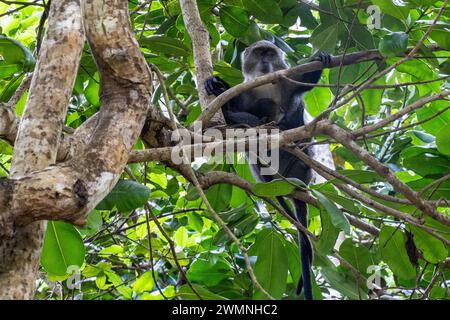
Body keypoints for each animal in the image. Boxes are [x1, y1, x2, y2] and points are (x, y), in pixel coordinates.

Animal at [204, 40, 330, 300]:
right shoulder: (244, 91)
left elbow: (303, 86)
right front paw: (217, 86)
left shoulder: (286, 82)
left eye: (269, 54)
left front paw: (320, 58)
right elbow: (230, 114)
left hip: (300, 168)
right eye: (258, 53)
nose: (264, 61)